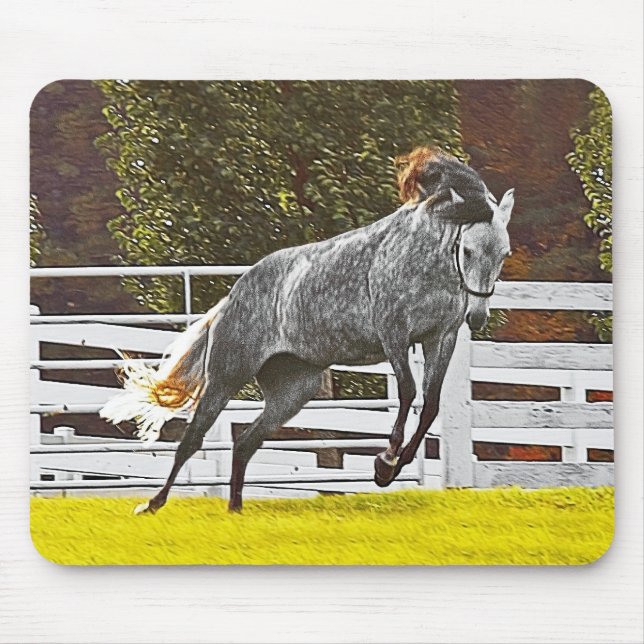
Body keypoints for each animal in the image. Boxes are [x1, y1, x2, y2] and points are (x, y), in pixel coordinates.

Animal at [100, 146, 515, 513]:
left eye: (503, 253)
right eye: (468, 250)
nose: (477, 318)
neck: (421, 256)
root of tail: (230, 301)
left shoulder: (439, 339)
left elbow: (430, 406)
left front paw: (395, 466)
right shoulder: (394, 334)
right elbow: (409, 393)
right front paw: (384, 463)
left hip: (293, 392)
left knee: (245, 442)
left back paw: (235, 508)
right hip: (226, 376)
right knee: (193, 439)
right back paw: (152, 504)